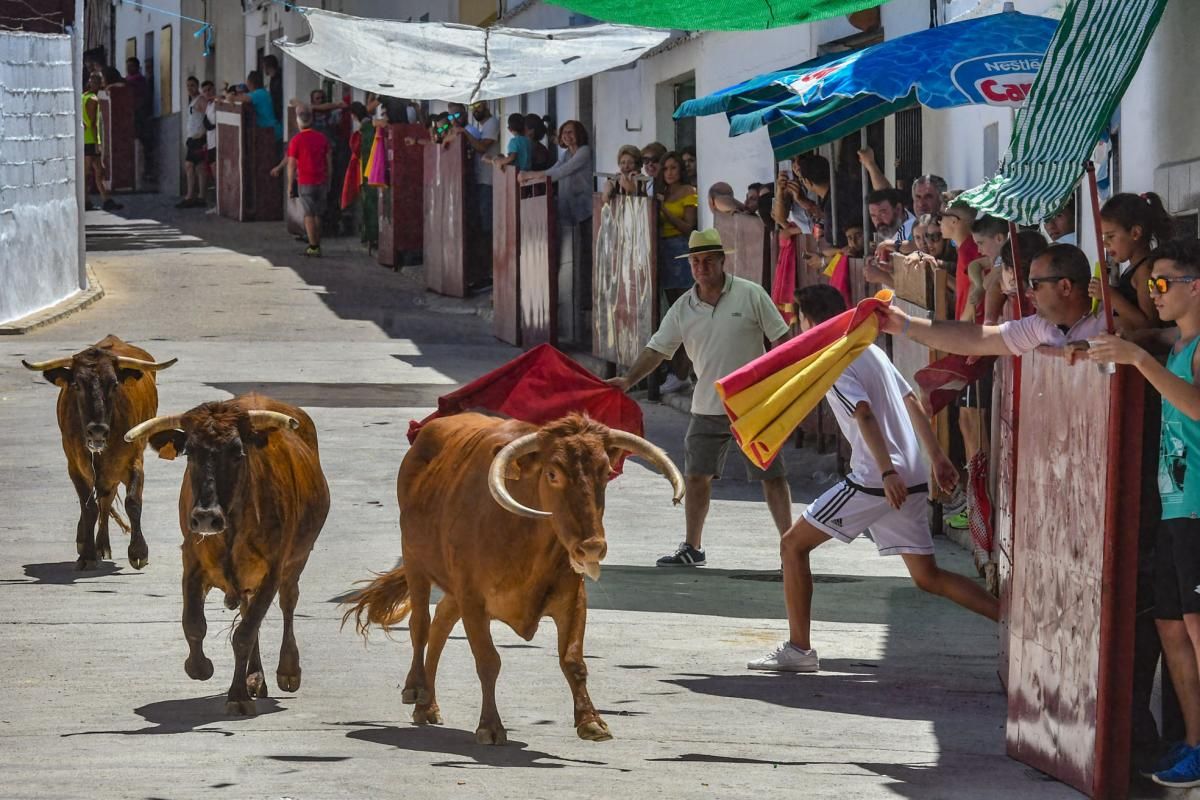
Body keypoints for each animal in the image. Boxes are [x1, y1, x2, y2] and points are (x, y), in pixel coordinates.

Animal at [21, 335, 176, 573]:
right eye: (76, 384)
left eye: (114, 384)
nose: (97, 430)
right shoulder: (75, 466)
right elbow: (88, 507)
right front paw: (87, 554)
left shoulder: (133, 461)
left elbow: (132, 501)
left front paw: (138, 552)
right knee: (97, 503)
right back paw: (86, 540)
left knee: (106, 498)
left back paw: (102, 544)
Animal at [124, 398, 331, 714]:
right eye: (190, 452)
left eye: (237, 452)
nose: (205, 517)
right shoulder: (192, 563)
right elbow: (194, 624)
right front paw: (200, 667)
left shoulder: (273, 570)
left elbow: (244, 634)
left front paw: (237, 696)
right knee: (247, 611)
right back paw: (255, 677)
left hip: (296, 561)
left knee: (288, 601)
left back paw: (287, 670)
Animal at [348, 417, 686, 748]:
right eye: (552, 473)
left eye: (604, 472)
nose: (591, 547)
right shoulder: (473, 600)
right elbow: (488, 661)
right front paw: (490, 726)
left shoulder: (573, 599)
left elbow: (573, 660)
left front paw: (591, 721)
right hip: (415, 560)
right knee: (421, 624)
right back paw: (416, 689)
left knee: (441, 622)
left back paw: (427, 705)